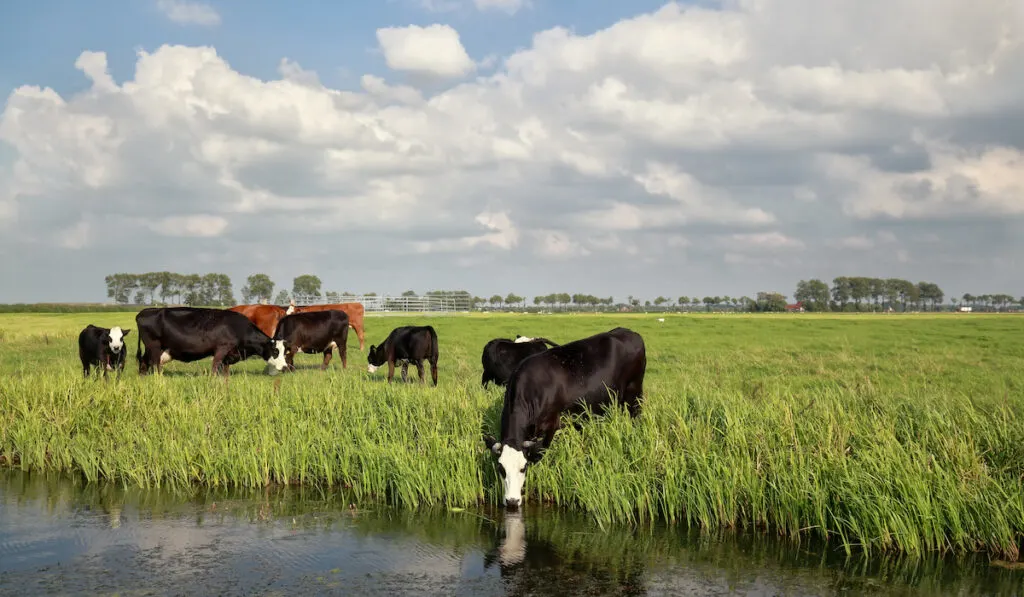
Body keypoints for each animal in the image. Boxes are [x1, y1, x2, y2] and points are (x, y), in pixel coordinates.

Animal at [136, 305, 288, 376]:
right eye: (275, 352)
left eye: (285, 352)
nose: (286, 367)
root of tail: (144, 311)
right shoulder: (221, 348)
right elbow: (215, 367)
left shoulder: (229, 355)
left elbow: (225, 371)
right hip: (154, 347)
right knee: (154, 365)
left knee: (144, 363)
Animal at [481, 327, 643, 509]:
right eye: (501, 468)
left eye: (523, 468)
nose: (512, 501)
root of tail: (628, 331)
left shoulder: (552, 426)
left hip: (634, 395)